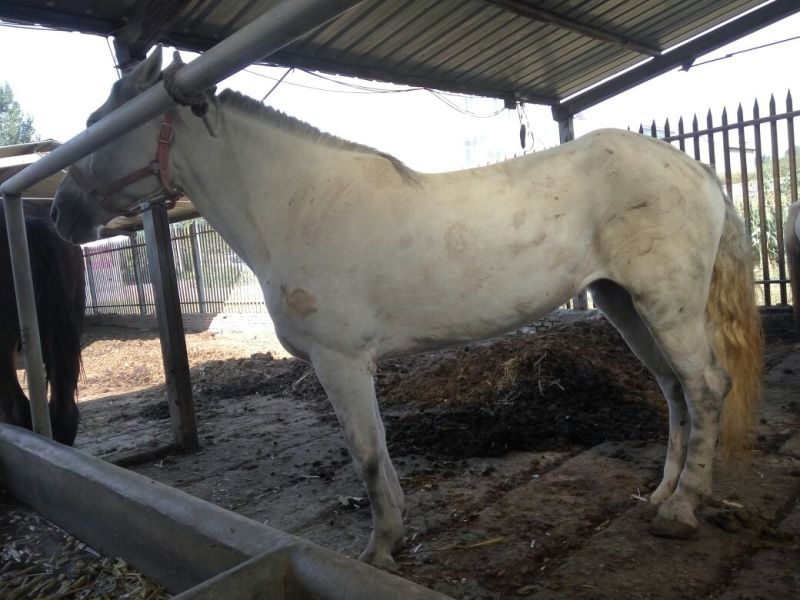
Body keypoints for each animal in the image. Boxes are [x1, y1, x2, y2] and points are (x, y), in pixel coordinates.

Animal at [51, 47, 762, 570]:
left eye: (98, 128)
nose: (60, 215)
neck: (297, 205)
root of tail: (696, 171)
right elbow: (380, 453)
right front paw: (393, 537)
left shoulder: (340, 363)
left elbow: (367, 455)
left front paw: (379, 549)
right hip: (626, 306)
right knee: (674, 390)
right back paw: (661, 493)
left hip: (665, 307)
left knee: (706, 387)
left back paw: (681, 511)